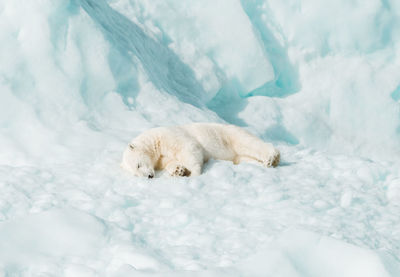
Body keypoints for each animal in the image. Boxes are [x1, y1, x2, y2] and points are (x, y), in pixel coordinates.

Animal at [120, 122, 280, 178]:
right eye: (135, 173)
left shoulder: (169, 136)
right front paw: (179, 170)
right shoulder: (160, 158)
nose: (149, 176)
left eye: (138, 165)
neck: (154, 141)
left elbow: (189, 148)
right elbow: (169, 162)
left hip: (229, 135)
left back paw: (272, 157)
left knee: (248, 143)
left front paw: (193, 173)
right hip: (237, 156)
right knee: (244, 158)